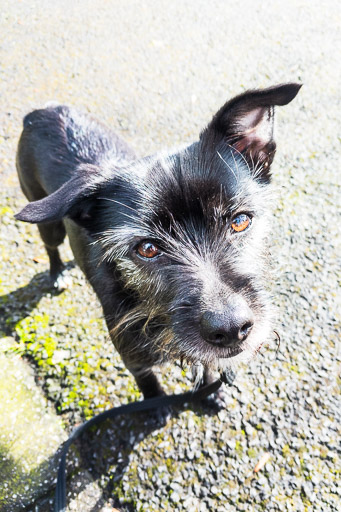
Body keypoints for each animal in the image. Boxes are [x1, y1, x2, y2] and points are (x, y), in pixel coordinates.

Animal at [15, 82, 300, 398]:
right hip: (47, 219)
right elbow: (153, 392)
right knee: (51, 246)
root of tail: (42, 112)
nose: (230, 328)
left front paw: (210, 390)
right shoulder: (137, 364)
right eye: (148, 248)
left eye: (240, 221)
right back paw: (56, 274)